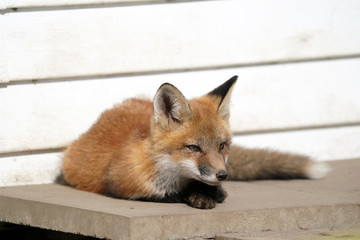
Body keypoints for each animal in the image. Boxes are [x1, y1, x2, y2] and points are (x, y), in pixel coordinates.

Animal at [58, 76, 330, 209]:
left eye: (222, 146)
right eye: (194, 148)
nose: (223, 175)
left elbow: (214, 191)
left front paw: (209, 194)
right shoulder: (123, 187)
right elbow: (167, 196)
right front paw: (196, 196)